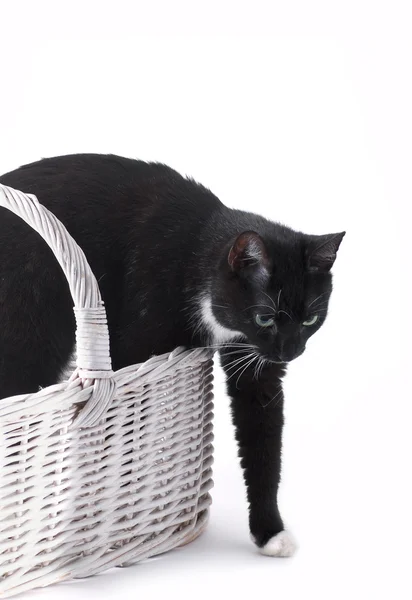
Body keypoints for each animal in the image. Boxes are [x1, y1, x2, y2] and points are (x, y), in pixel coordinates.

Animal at [0, 154, 344, 552]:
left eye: (310, 319)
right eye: (265, 317)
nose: (290, 351)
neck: (198, 255)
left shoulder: (255, 362)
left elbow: (263, 436)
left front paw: (270, 531)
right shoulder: (135, 338)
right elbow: (125, 428)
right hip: (31, 316)